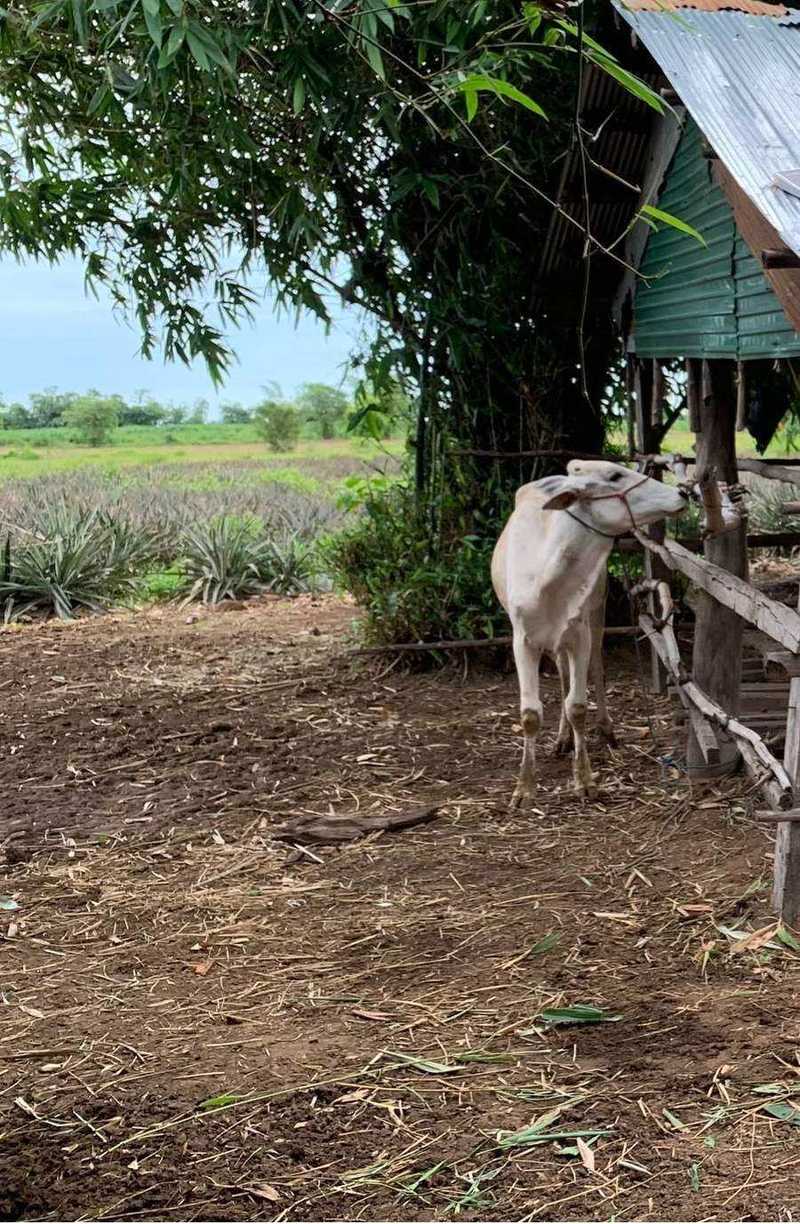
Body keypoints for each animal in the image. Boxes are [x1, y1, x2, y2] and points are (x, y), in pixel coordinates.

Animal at [491, 459, 687, 807]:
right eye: (615, 476)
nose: (682, 493)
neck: (549, 577)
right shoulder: (522, 640)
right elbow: (530, 714)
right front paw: (524, 788)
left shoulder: (580, 634)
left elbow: (578, 707)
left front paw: (584, 780)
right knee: (562, 673)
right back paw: (562, 739)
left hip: (597, 611)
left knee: (596, 666)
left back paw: (605, 729)